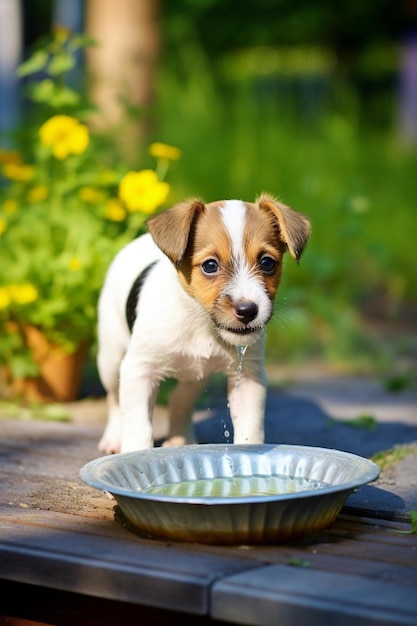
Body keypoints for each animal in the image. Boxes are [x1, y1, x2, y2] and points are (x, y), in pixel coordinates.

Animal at [95, 193, 308, 450]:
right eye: (210, 265)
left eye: (267, 263)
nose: (247, 310)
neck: (198, 321)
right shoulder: (139, 370)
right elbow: (138, 427)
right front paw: (136, 454)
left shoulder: (248, 375)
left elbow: (250, 427)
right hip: (111, 358)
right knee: (114, 400)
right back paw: (113, 438)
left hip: (197, 377)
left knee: (179, 400)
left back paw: (181, 439)